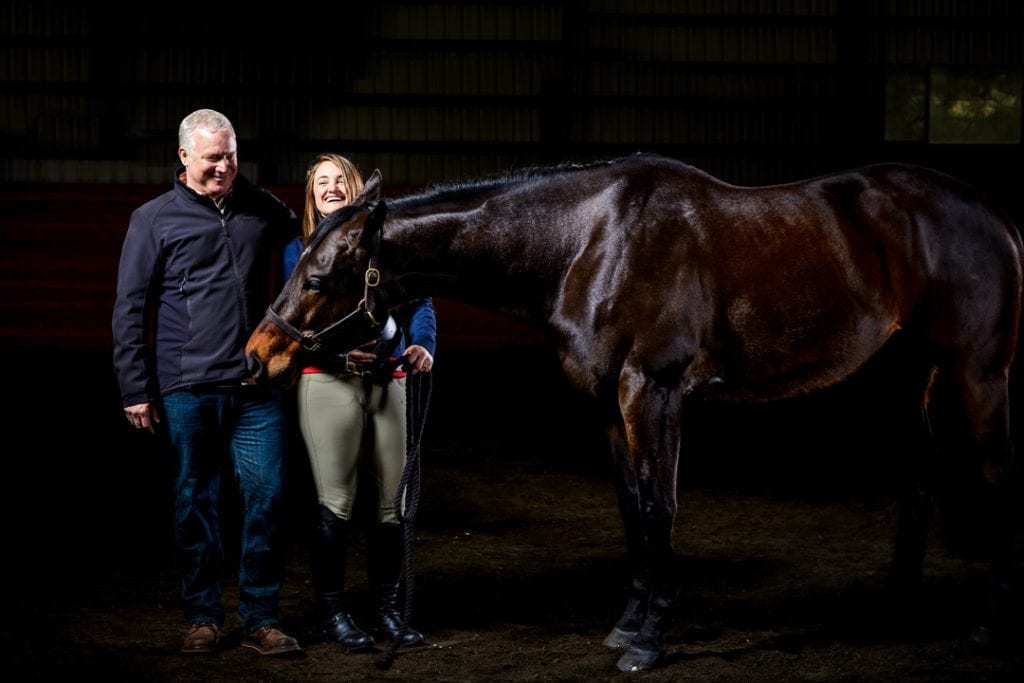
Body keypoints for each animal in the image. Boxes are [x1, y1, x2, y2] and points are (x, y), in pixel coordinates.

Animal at [243, 152, 1019, 671]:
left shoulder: (654, 391)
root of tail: (995, 216)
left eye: (318, 277)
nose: (257, 357)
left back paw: (989, 627)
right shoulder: (611, 405)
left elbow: (659, 505)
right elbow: (630, 507)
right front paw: (629, 622)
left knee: (989, 479)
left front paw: (650, 639)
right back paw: (897, 609)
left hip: (978, 376)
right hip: (913, 377)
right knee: (920, 480)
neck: (590, 239)